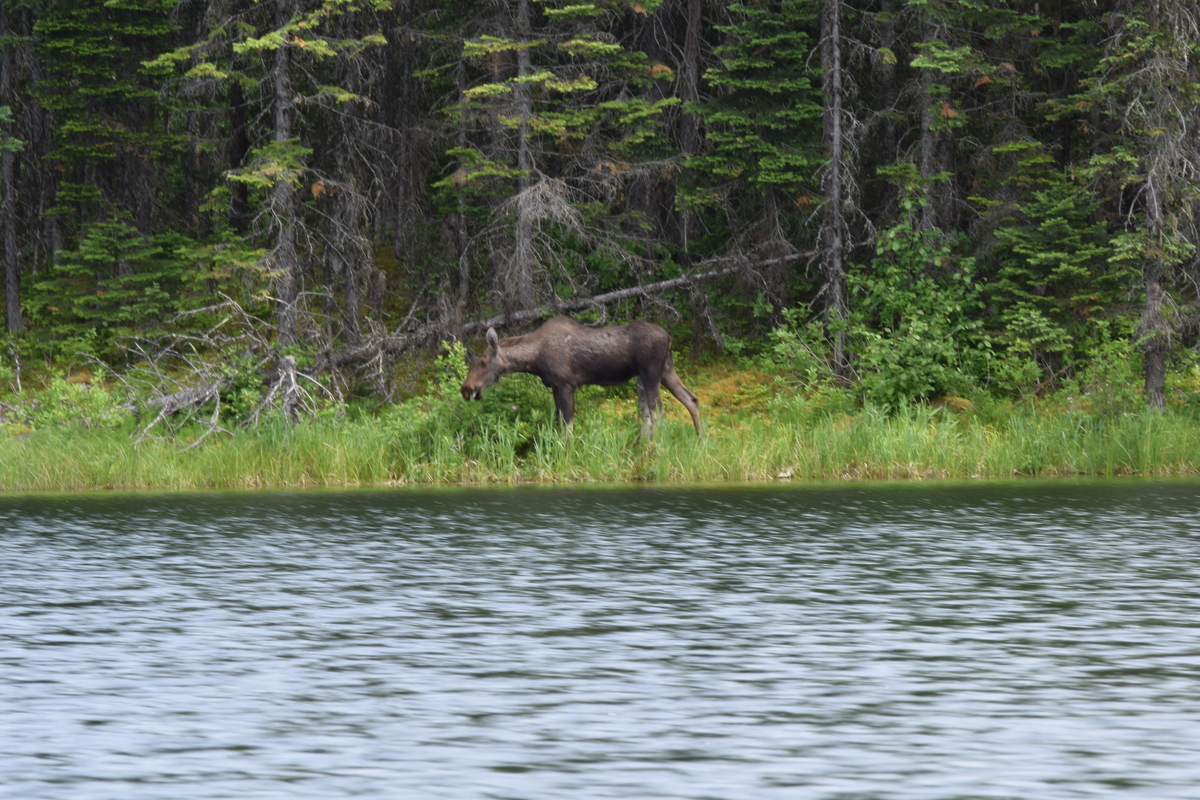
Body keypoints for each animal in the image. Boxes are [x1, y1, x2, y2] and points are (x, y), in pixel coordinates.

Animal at [458, 316, 700, 438]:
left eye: (482, 362)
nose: (466, 388)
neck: (534, 360)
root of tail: (669, 337)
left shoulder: (567, 385)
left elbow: (568, 426)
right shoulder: (555, 387)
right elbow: (559, 424)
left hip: (650, 373)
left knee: (657, 410)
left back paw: (653, 446)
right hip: (666, 370)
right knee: (691, 399)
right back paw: (700, 439)